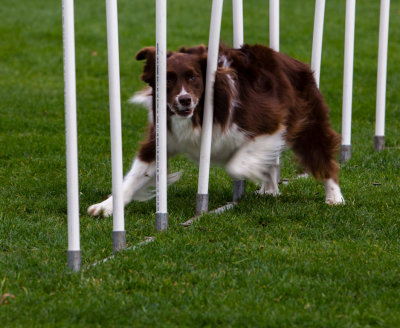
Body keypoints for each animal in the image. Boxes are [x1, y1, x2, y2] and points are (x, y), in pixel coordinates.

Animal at [89, 44, 346, 218]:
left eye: (193, 77)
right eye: (168, 80)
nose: (184, 100)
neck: (198, 115)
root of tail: (294, 62)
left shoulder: (269, 124)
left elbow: (236, 164)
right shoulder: (162, 139)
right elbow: (134, 176)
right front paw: (106, 207)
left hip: (308, 124)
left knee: (323, 160)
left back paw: (334, 197)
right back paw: (270, 189)